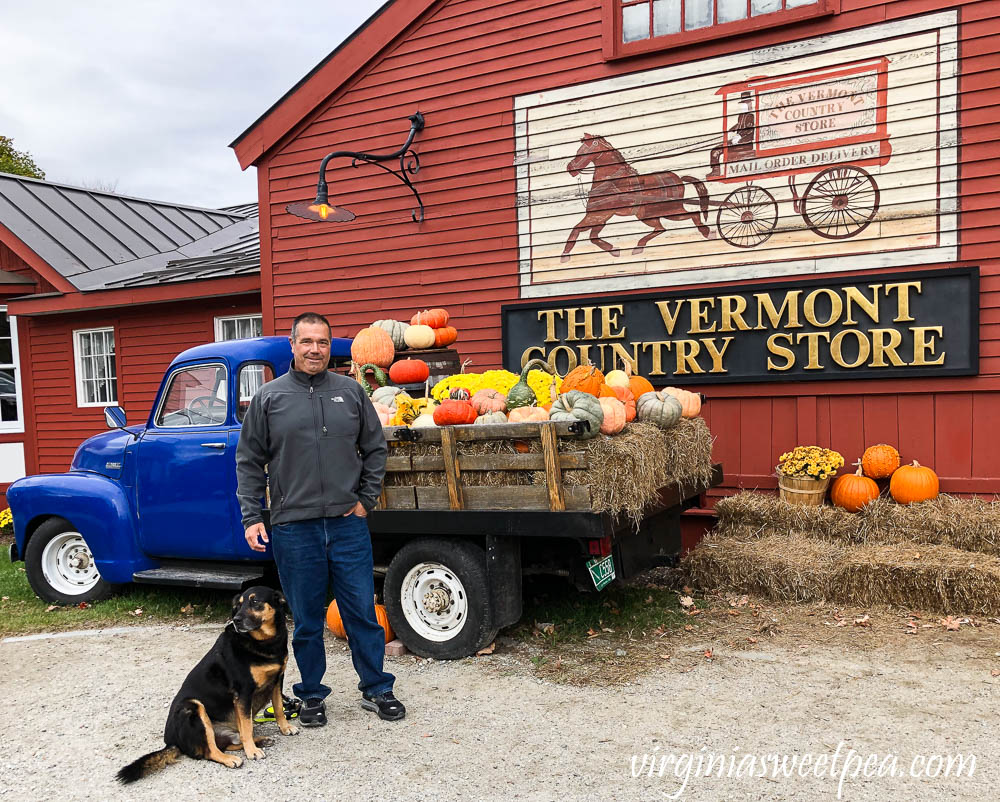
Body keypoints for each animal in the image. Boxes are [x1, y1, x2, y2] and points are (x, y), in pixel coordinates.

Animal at [115, 580, 298, 780]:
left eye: (255, 601)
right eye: (238, 605)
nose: (236, 620)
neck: (265, 642)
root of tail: (172, 742)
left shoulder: (277, 681)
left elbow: (278, 708)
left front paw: (285, 728)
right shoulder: (243, 691)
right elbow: (247, 726)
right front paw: (252, 751)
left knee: (228, 742)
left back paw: (260, 740)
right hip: (192, 707)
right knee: (209, 751)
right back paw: (232, 758)